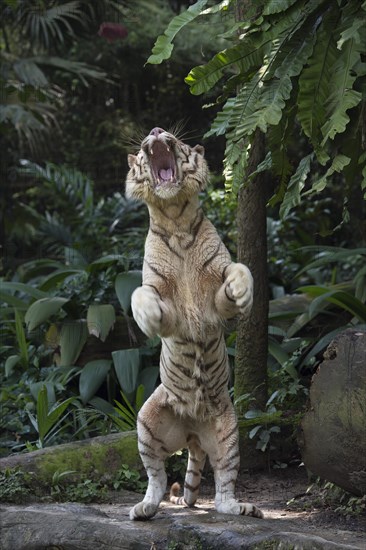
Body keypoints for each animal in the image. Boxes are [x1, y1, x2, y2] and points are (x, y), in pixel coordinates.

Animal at [126, 126, 264, 520]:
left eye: (179, 141)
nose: (156, 130)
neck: (175, 219)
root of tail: (191, 436)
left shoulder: (216, 301)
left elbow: (239, 269)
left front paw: (243, 292)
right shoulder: (169, 310)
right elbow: (140, 294)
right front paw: (146, 316)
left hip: (230, 432)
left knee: (222, 488)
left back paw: (241, 508)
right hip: (146, 422)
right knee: (156, 477)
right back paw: (144, 507)